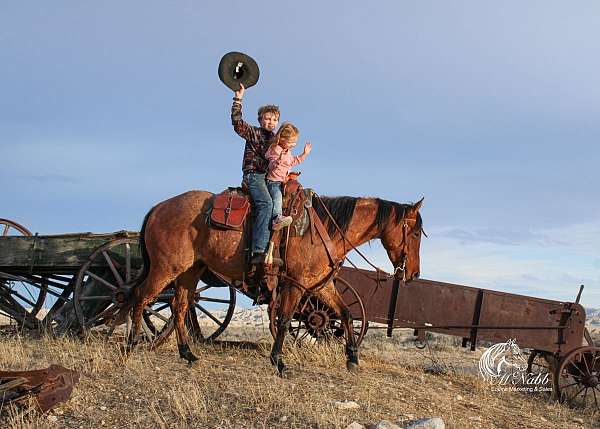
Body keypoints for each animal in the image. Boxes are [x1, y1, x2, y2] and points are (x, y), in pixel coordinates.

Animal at [120, 189, 422, 372]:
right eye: (417, 232)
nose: (414, 274)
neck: (324, 230)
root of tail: (158, 208)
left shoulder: (320, 285)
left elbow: (346, 314)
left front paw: (352, 358)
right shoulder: (296, 284)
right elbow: (286, 320)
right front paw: (279, 361)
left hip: (189, 272)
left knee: (179, 306)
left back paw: (187, 354)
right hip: (165, 269)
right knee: (141, 298)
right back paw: (131, 345)